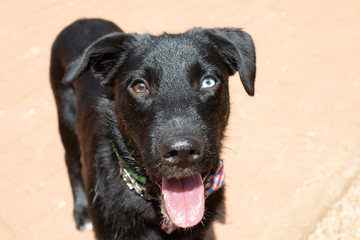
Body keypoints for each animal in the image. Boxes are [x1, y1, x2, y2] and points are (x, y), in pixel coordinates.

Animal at [50, 17, 256, 239]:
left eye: (208, 81)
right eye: (140, 86)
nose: (182, 152)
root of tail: (82, 20)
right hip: (67, 124)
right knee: (71, 163)